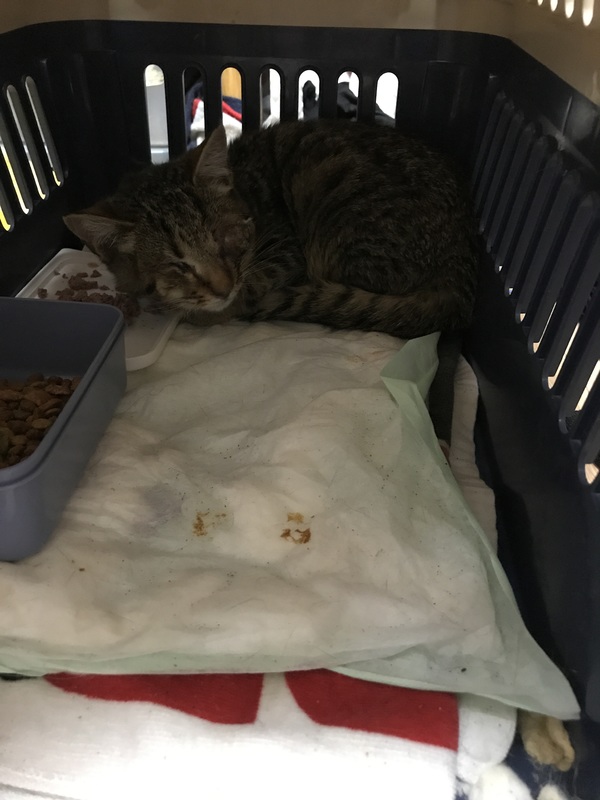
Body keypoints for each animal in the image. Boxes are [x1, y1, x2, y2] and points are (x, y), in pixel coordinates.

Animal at [63, 119, 478, 339]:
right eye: (176, 265)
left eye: (221, 238)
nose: (222, 287)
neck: (246, 189)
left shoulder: (285, 249)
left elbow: (250, 286)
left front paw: (217, 308)